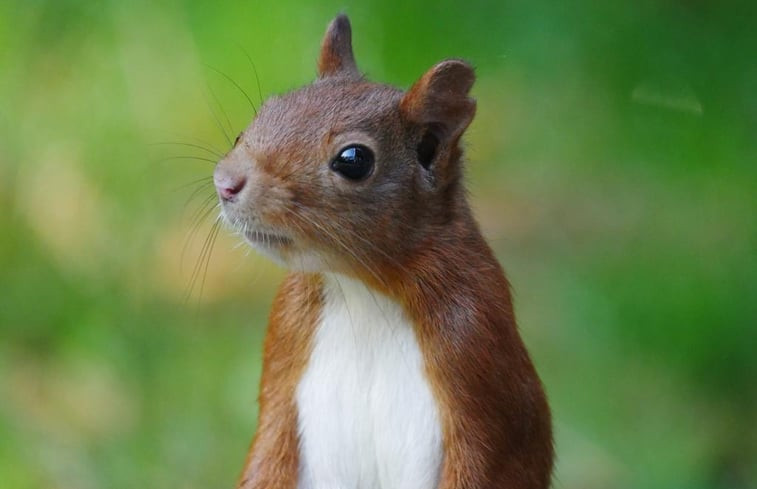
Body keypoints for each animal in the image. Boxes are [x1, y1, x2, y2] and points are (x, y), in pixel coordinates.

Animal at [213, 14, 556, 488]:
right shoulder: (283, 350)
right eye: (263, 112)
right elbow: (267, 457)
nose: (226, 182)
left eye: (353, 159)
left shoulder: (478, 352)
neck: (362, 292)